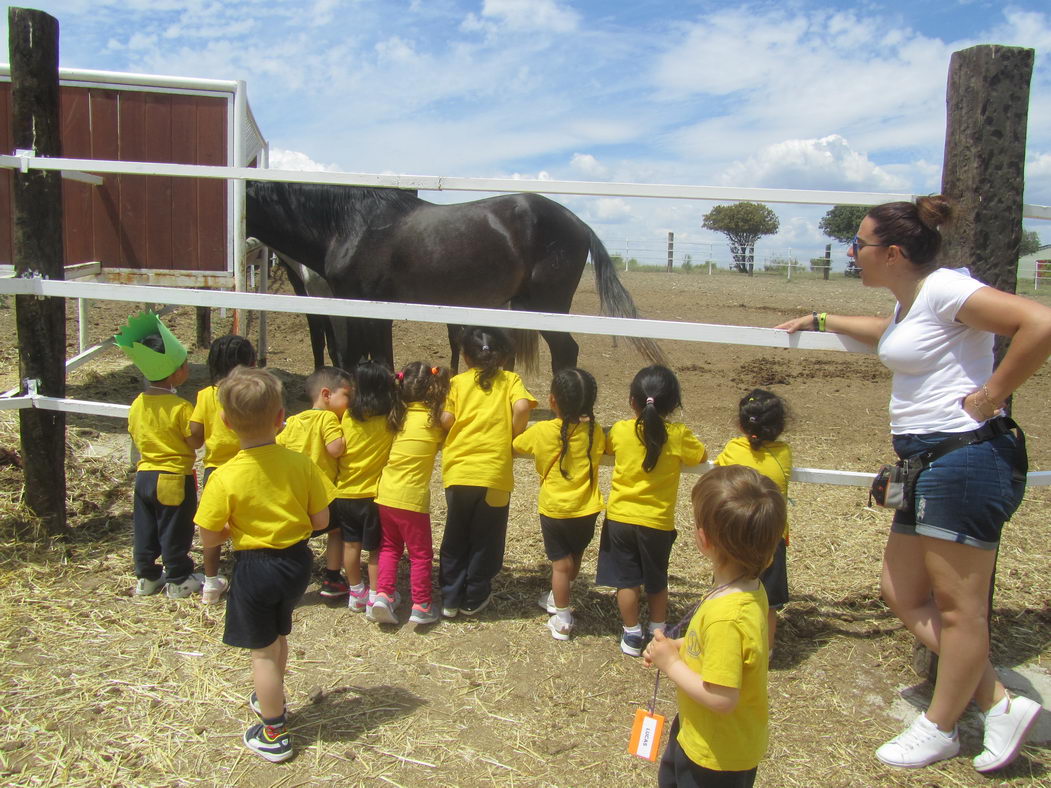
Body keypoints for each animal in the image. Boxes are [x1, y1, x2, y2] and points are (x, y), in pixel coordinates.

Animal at [243, 181, 664, 374]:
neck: (348, 226)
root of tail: (579, 223)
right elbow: (370, 358)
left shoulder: (365, 307)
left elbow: (366, 358)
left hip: (548, 306)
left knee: (567, 352)